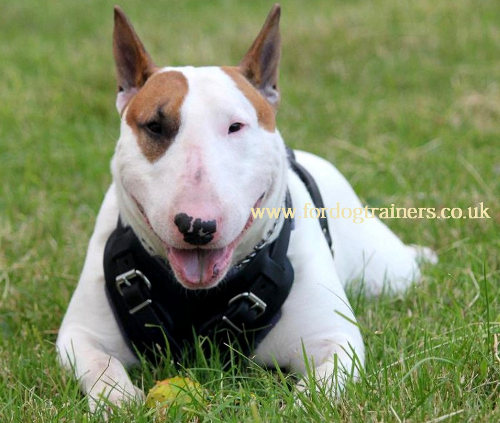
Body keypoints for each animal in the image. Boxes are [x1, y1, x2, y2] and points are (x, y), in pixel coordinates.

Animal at [55, 3, 438, 412]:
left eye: (236, 126)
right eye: (155, 126)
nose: (196, 226)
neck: (202, 295)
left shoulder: (334, 339)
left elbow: (320, 386)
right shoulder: (80, 332)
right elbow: (98, 362)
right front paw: (119, 399)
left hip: (385, 270)